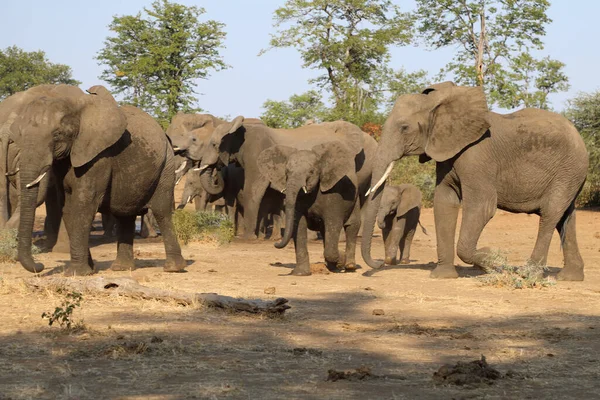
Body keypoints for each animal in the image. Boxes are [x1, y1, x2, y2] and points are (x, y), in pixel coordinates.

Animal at [9, 83, 185, 278]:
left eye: (57, 135)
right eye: (20, 136)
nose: (40, 265)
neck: (76, 105)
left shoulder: (98, 157)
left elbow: (82, 205)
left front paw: (76, 273)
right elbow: (68, 208)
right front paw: (88, 270)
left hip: (166, 165)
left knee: (161, 211)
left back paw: (173, 268)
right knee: (125, 214)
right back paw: (122, 268)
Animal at [256, 122, 376, 276]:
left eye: (311, 172)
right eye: (286, 173)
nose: (275, 243)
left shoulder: (334, 195)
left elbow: (333, 223)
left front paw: (340, 259)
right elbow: (299, 225)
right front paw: (300, 273)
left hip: (354, 199)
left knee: (351, 226)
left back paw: (349, 266)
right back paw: (333, 267)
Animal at [358, 82, 588, 282]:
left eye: (404, 128)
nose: (380, 263)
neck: (441, 103)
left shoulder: (476, 156)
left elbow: (482, 206)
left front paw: (496, 258)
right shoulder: (447, 153)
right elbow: (444, 202)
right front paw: (442, 276)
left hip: (568, 169)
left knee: (550, 213)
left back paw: (529, 274)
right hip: (570, 174)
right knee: (565, 217)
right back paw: (570, 277)